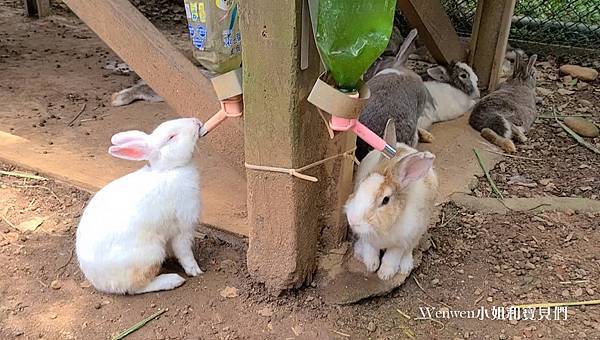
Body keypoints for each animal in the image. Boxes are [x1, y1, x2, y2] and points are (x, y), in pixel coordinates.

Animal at [76, 118, 204, 294]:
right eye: (171, 137)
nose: (196, 121)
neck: (170, 169)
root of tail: (100, 282)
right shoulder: (183, 227)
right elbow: (184, 252)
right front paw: (196, 271)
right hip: (151, 254)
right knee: (137, 288)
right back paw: (172, 280)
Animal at [344, 119, 438, 278]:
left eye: (385, 200)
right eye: (361, 185)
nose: (353, 221)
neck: (382, 229)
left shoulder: (401, 242)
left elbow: (391, 257)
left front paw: (385, 274)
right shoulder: (367, 239)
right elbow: (370, 250)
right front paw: (371, 265)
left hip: (419, 232)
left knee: (409, 250)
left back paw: (406, 266)